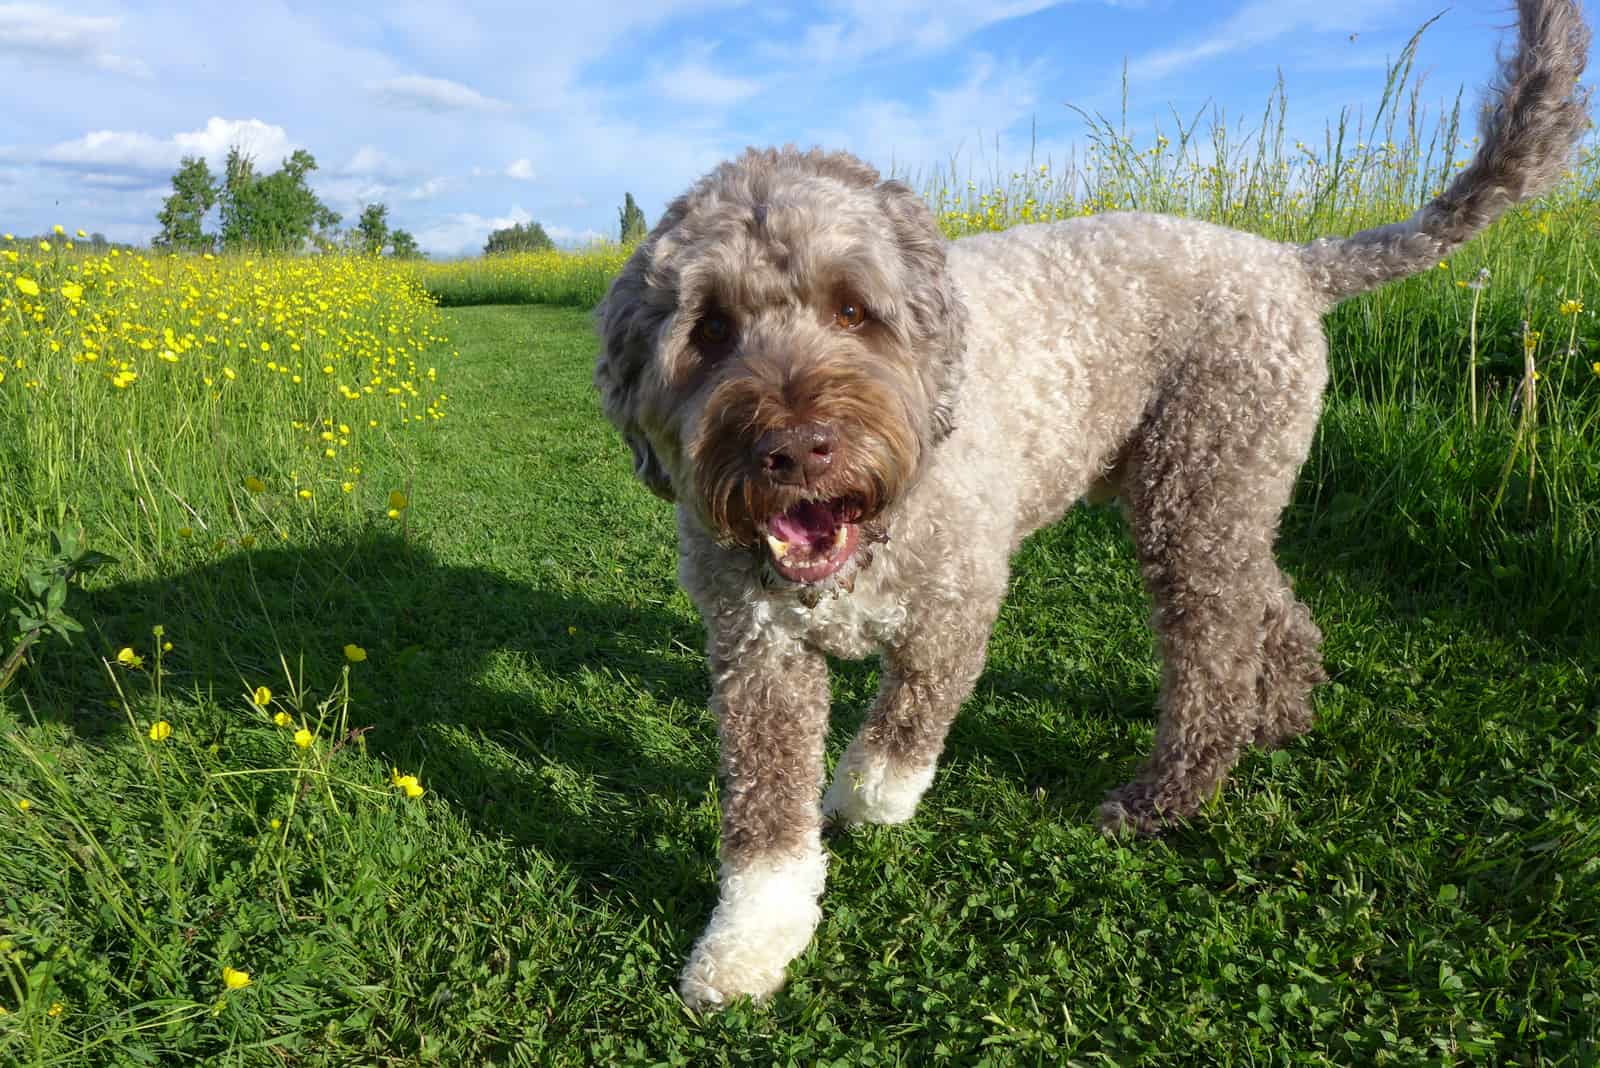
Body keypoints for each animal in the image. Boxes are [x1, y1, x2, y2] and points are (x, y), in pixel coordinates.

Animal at [595, 0, 1593, 1010]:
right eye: (710, 327)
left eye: (852, 310)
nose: (797, 449)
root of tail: (1291, 261)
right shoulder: (757, 654)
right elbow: (764, 819)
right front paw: (748, 942)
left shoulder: (958, 602)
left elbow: (903, 726)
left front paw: (864, 798)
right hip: (1213, 489)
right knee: (1268, 603)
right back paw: (1282, 711)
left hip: (1196, 491)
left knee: (1214, 657)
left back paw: (1166, 794)